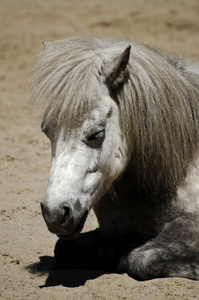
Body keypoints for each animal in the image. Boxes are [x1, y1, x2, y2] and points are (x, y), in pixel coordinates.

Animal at [29, 36, 199, 280]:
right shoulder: (110, 230)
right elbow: (63, 248)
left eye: (96, 134)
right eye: (46, 131)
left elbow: (140, 260)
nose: (54, 213)